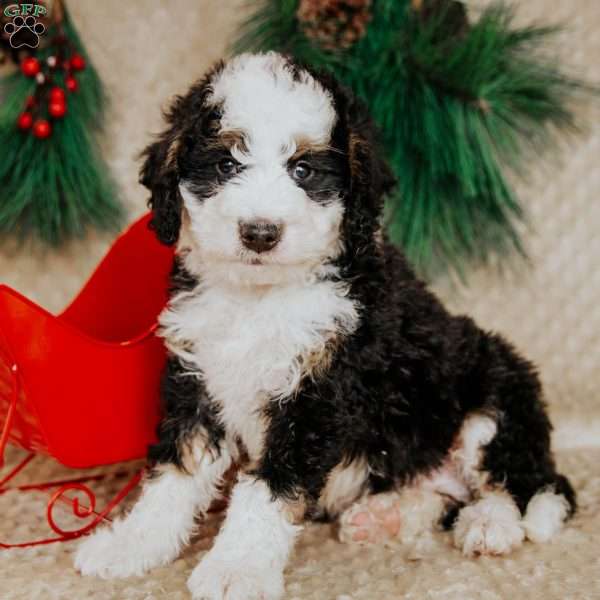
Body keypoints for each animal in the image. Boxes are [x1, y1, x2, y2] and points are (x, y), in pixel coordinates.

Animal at [75, 52, 576, 600]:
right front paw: (132, 544)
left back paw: (490, 526)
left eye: (304, 169)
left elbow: (268, 489)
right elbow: (175, 472)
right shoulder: (198, 377)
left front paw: (236, 569)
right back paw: (381, 516)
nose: (260, 233)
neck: (259, 297)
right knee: (438, 494)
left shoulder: (318, 392)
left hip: (495, 393)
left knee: (523, 484)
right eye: (226, 164)